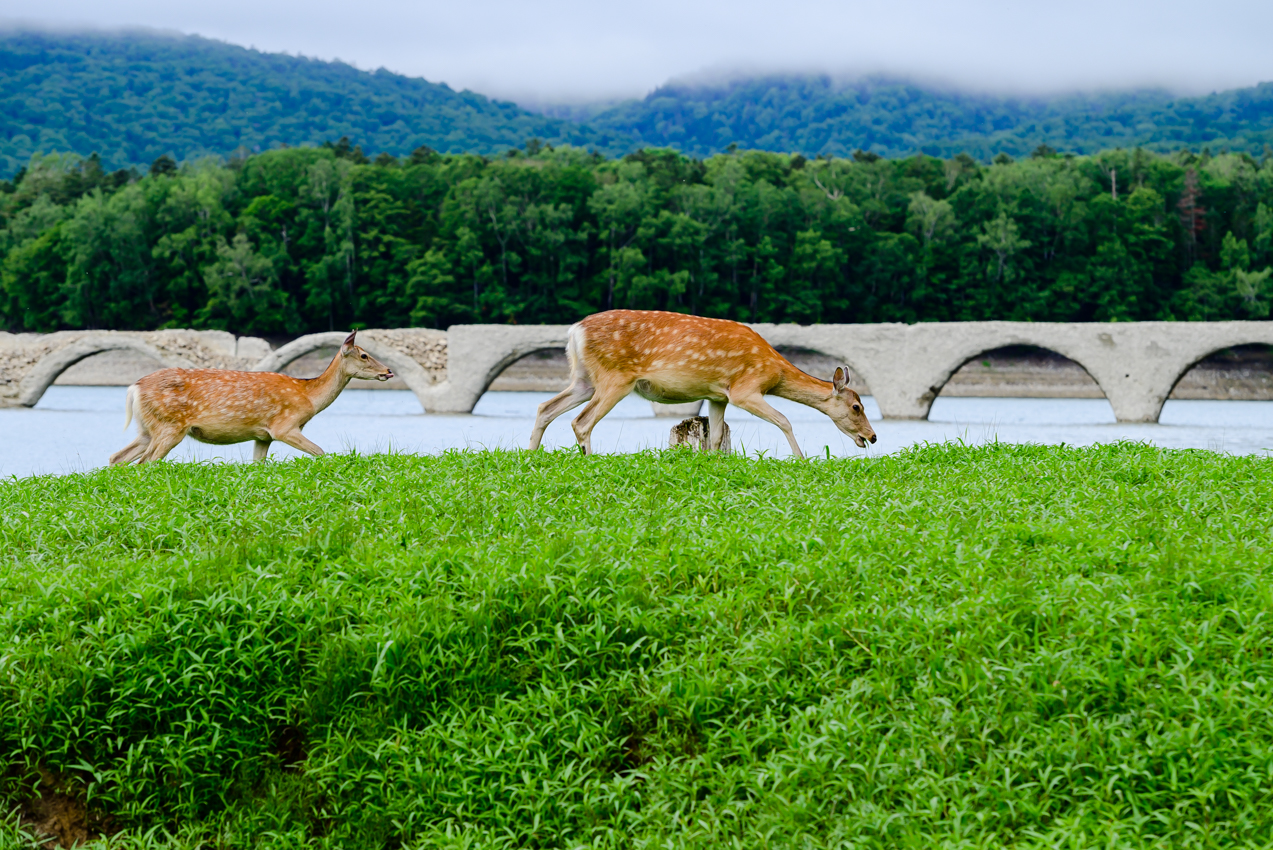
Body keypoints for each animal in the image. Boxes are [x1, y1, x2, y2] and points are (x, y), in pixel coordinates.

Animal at [112, 330, 394, 465]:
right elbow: (321, 452)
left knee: (117, 458)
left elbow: (257, 465)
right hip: (170, 426)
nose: (389, 371)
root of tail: (133, 388)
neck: (307, 396)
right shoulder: (284, 426)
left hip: (148, 428)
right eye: (364, 355)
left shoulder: (263, 436)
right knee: (144, 463)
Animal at [527, 310, 875, 458]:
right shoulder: (745, 389)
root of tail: (574, 331)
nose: (871, 436)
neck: (774, 371)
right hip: (615, 377)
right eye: (857, 406)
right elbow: (785, 419)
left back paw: (530, 455)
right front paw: (801, 458)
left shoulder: (718, 395)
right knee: (581, 420)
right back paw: (589, 457)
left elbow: (718, 434)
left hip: (583, 377)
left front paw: (714, 461)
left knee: (545, 407)